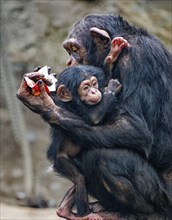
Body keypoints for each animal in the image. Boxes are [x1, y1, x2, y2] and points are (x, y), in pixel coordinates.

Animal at [17, 14, 172, 219]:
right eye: (69, 50)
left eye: (75, 49)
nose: (69, 62)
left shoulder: (137, 59)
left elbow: (134, 127)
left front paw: (46, 105)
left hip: (164, 198)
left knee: (104, 158)